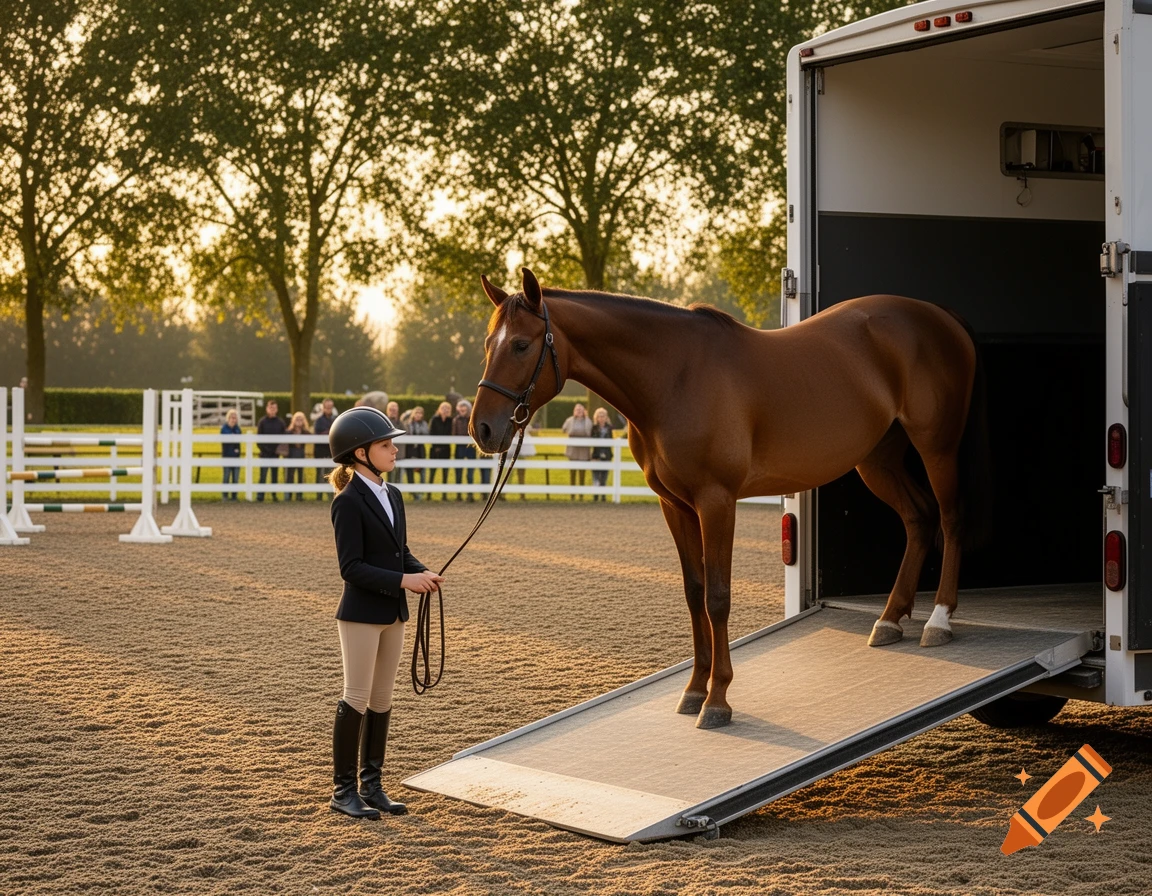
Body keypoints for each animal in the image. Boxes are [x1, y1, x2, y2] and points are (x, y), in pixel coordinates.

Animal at [470, 268, 990, 729]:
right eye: (487, 345)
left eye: (521, 345)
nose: (483, 430)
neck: (675, 375)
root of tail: (938, 316)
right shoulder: (675, 506)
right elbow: (694, 593)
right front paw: (693, 690)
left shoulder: (716, 502)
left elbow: (717, 597)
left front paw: (717, 699)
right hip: (878, 460)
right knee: (919, 519)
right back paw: (890, 618)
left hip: (936, 447)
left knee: (950, 519)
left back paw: (938, 620)